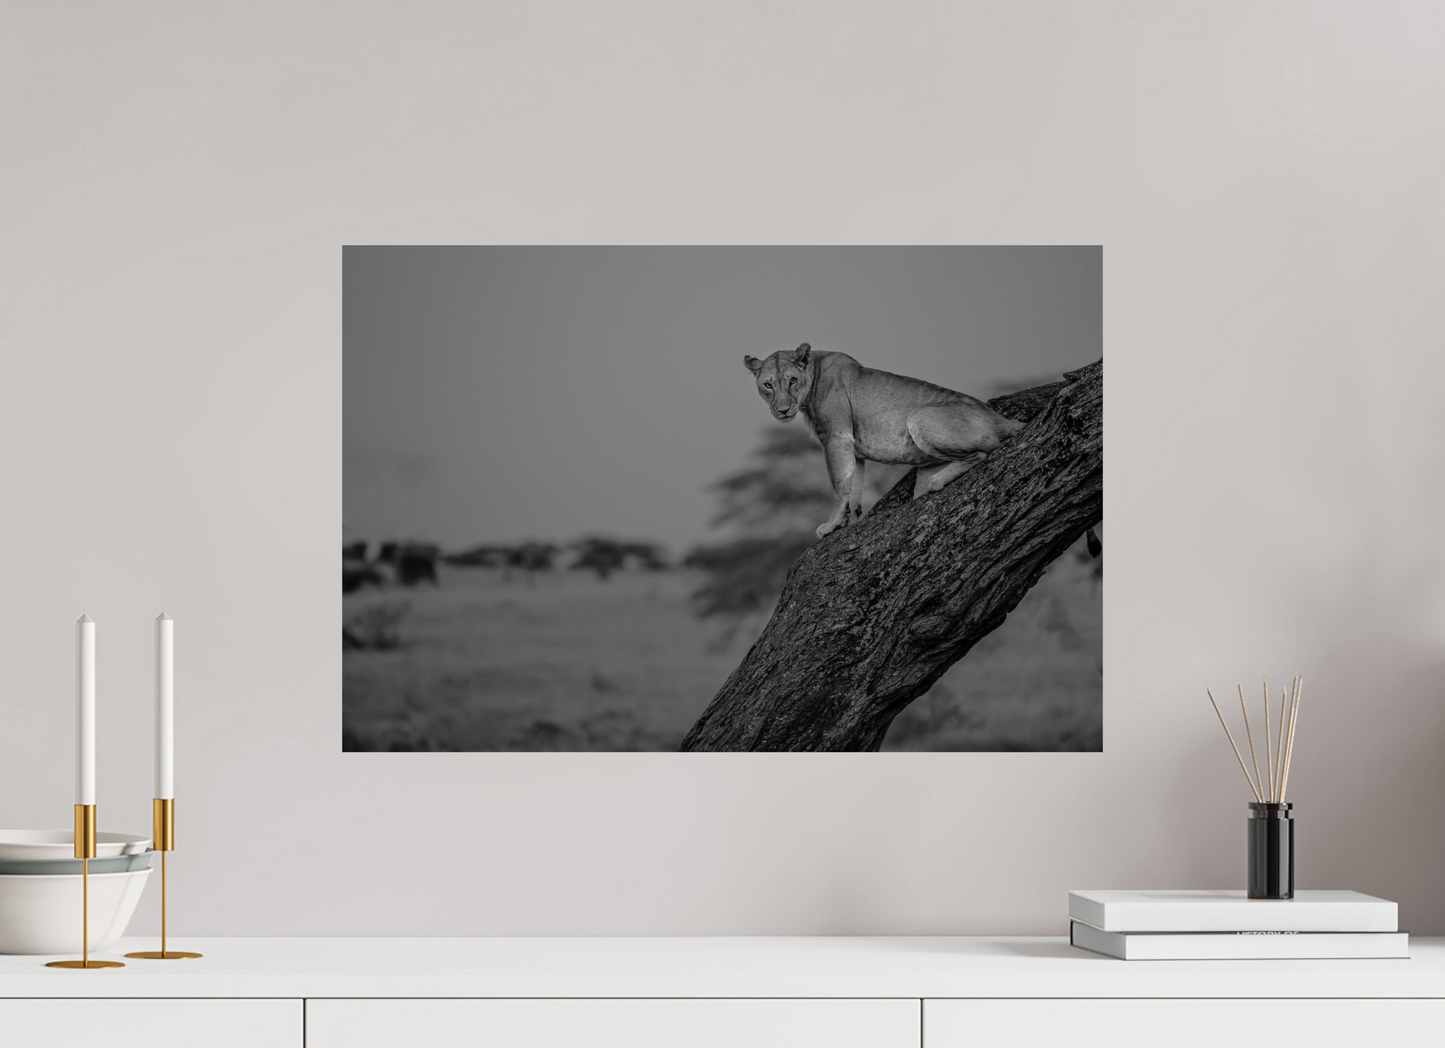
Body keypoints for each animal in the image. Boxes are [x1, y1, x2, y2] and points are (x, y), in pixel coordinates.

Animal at [744, 342, 1026, 538]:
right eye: (768, 385)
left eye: (792, 381)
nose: (782, 410)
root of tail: (1001, 419)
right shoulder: (851, 446)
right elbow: (853, 488)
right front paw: (849, 521)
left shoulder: (836, 438)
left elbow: (838, 486)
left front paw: (831, 525)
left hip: (918, 416)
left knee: (980, 453)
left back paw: (937, 481)